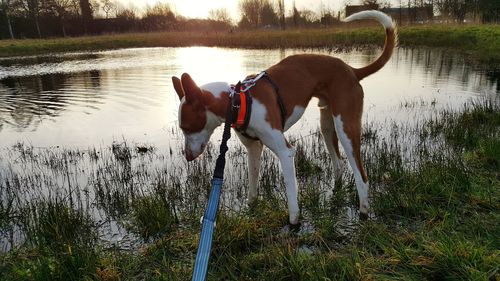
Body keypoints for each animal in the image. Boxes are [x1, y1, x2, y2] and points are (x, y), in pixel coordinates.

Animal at [174, 10, 396, 224]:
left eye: (186, 127)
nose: (188, 156)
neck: (238, 100)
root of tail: (351, 70)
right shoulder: (254, 148)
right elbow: (252, 187)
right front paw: (251, 210)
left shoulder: (285, 152)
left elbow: (291, 197)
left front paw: (294, 224)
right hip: (327, 126)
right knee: (339, 163)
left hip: (346, 128)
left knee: (362, 175)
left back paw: (364, 212)